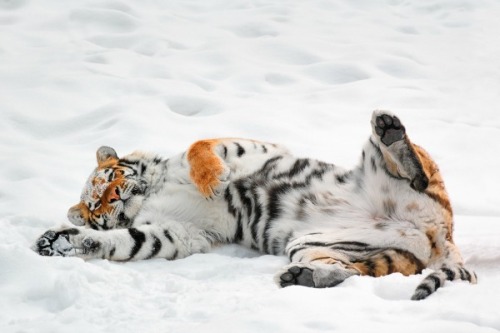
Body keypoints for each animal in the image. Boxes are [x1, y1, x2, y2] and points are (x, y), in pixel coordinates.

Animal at [33, 110, 474, 300]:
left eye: (109, 179)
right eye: (95, 205)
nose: (116, 197)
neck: (152, 190)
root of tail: (441, 235)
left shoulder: (250, 146)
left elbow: (199, 145)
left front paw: (213, 180)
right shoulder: (178, 232)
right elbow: (127, 241)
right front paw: (63, 242)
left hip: (384, 166)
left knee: (414, 168)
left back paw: (391, 131)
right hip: (314, 243)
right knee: (350, 271)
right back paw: (304, 278)